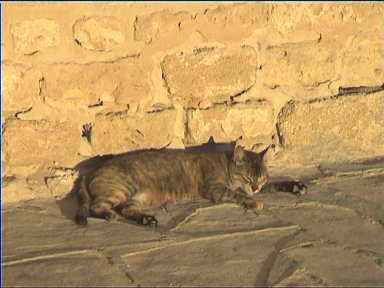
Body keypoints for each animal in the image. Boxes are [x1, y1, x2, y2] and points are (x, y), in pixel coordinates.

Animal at [76, 138, 270, 227]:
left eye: (261, 179)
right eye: (248, 178)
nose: (256, 188)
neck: (224, 163)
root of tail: (90, 171)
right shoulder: (215, 189)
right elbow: (236, 194)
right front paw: (254, 202)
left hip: (135, 198)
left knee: (126, 210)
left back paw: (146, 219)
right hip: (122, 189)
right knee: (95, 206)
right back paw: (110, 215)